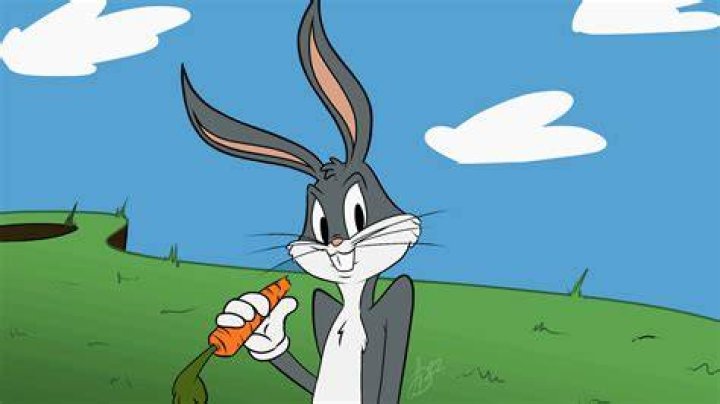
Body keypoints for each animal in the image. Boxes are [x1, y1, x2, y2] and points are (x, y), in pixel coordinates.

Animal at [180, 1, 419, 402]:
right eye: (320, 223)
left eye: (359, 212)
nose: (336, 242)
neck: (351, 305)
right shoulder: (323, 305)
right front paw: (252, 321)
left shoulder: (400, 301)